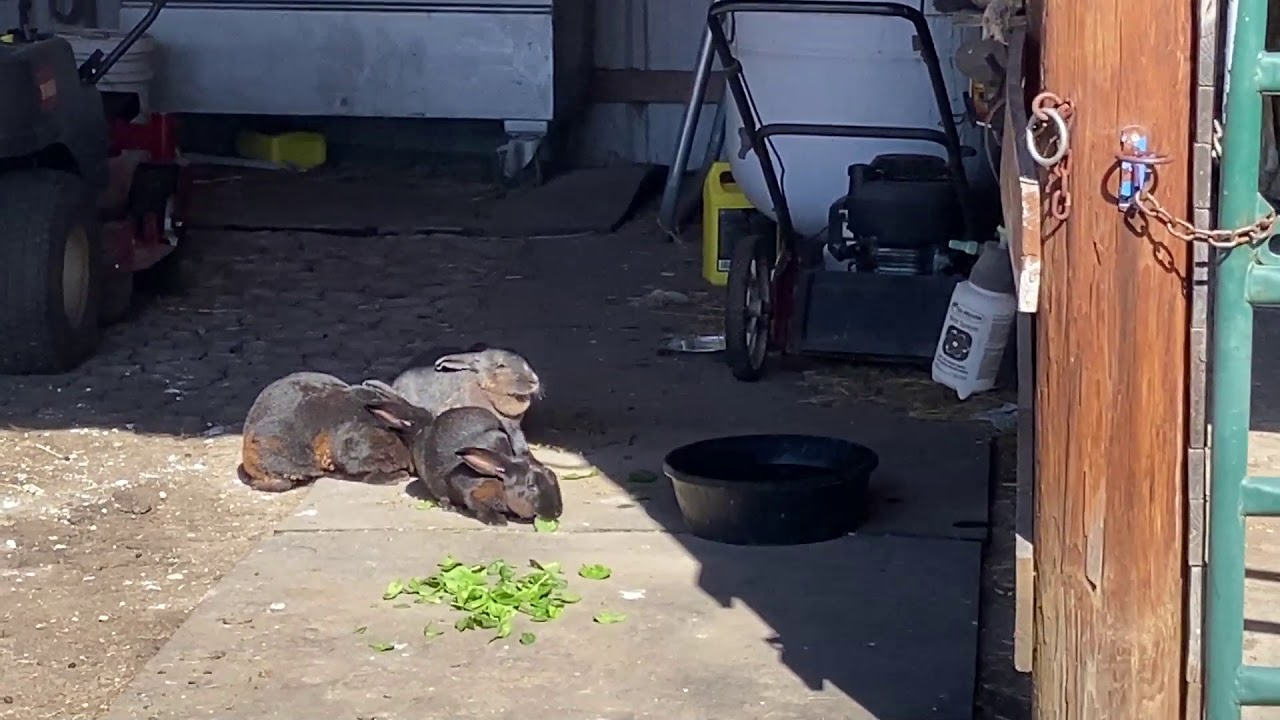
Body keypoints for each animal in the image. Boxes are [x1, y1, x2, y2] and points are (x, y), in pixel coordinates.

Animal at [364, 402, 563, 527]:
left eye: (553, 475)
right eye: (531, 486)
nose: (556, 513)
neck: (498, 477)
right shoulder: (468, 488)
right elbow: (476, 504)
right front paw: (496, 520)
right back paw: (449, 506)